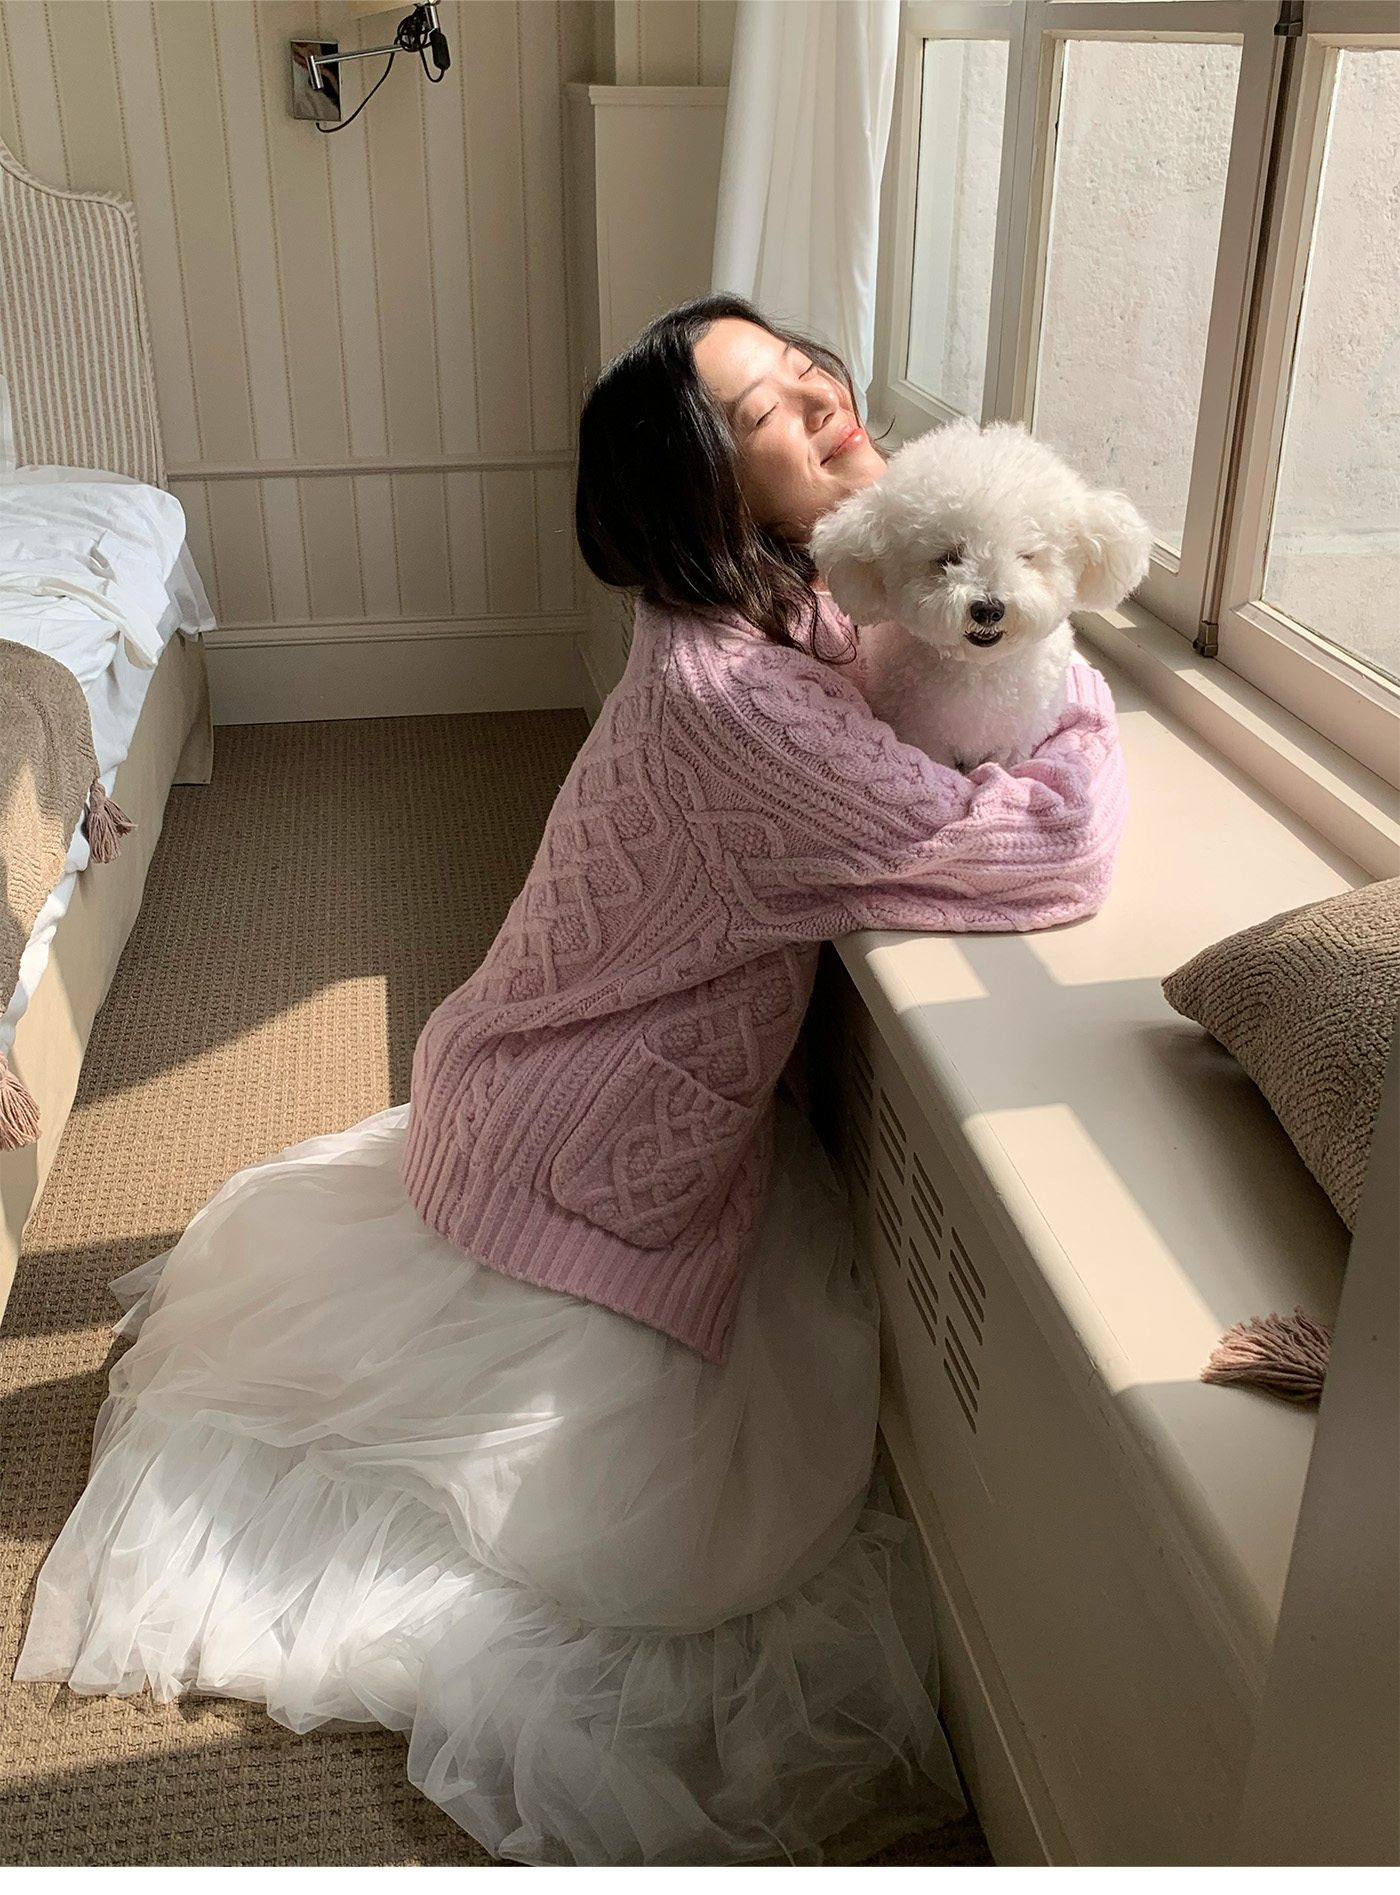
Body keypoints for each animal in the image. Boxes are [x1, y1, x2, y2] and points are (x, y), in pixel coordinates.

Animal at [810, 419, 1152, 771]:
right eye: (948, 557)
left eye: (1025, 556)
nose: (988, 610)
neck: (981, 670)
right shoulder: (925, 740)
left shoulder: (1012, 745)